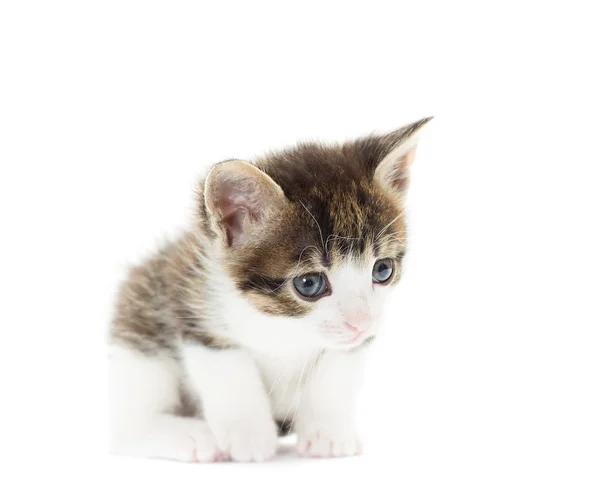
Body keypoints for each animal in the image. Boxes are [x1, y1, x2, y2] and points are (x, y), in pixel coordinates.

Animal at [109, 117, 432, 460]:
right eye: (309, 284)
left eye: (382, 270)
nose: (361, 322)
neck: (282, 324)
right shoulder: (190, 292)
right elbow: (226, 361)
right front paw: (248, 434)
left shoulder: (358, 337)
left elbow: (337, 370)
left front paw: (327, 431)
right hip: (140, 321)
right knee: (123, 423)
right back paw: (191, 436)